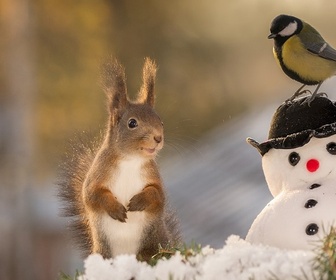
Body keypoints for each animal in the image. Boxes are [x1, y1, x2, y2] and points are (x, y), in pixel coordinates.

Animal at [60, 58, 181, 262]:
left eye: (161, 121)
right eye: (132, 123)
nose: (158, 138)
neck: (130, 161)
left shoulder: (153, 176)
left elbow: (157, 194)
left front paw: (139, 201)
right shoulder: (97, 174)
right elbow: (91, 195)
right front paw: (115, 208)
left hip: (153, 245)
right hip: (104, 253)